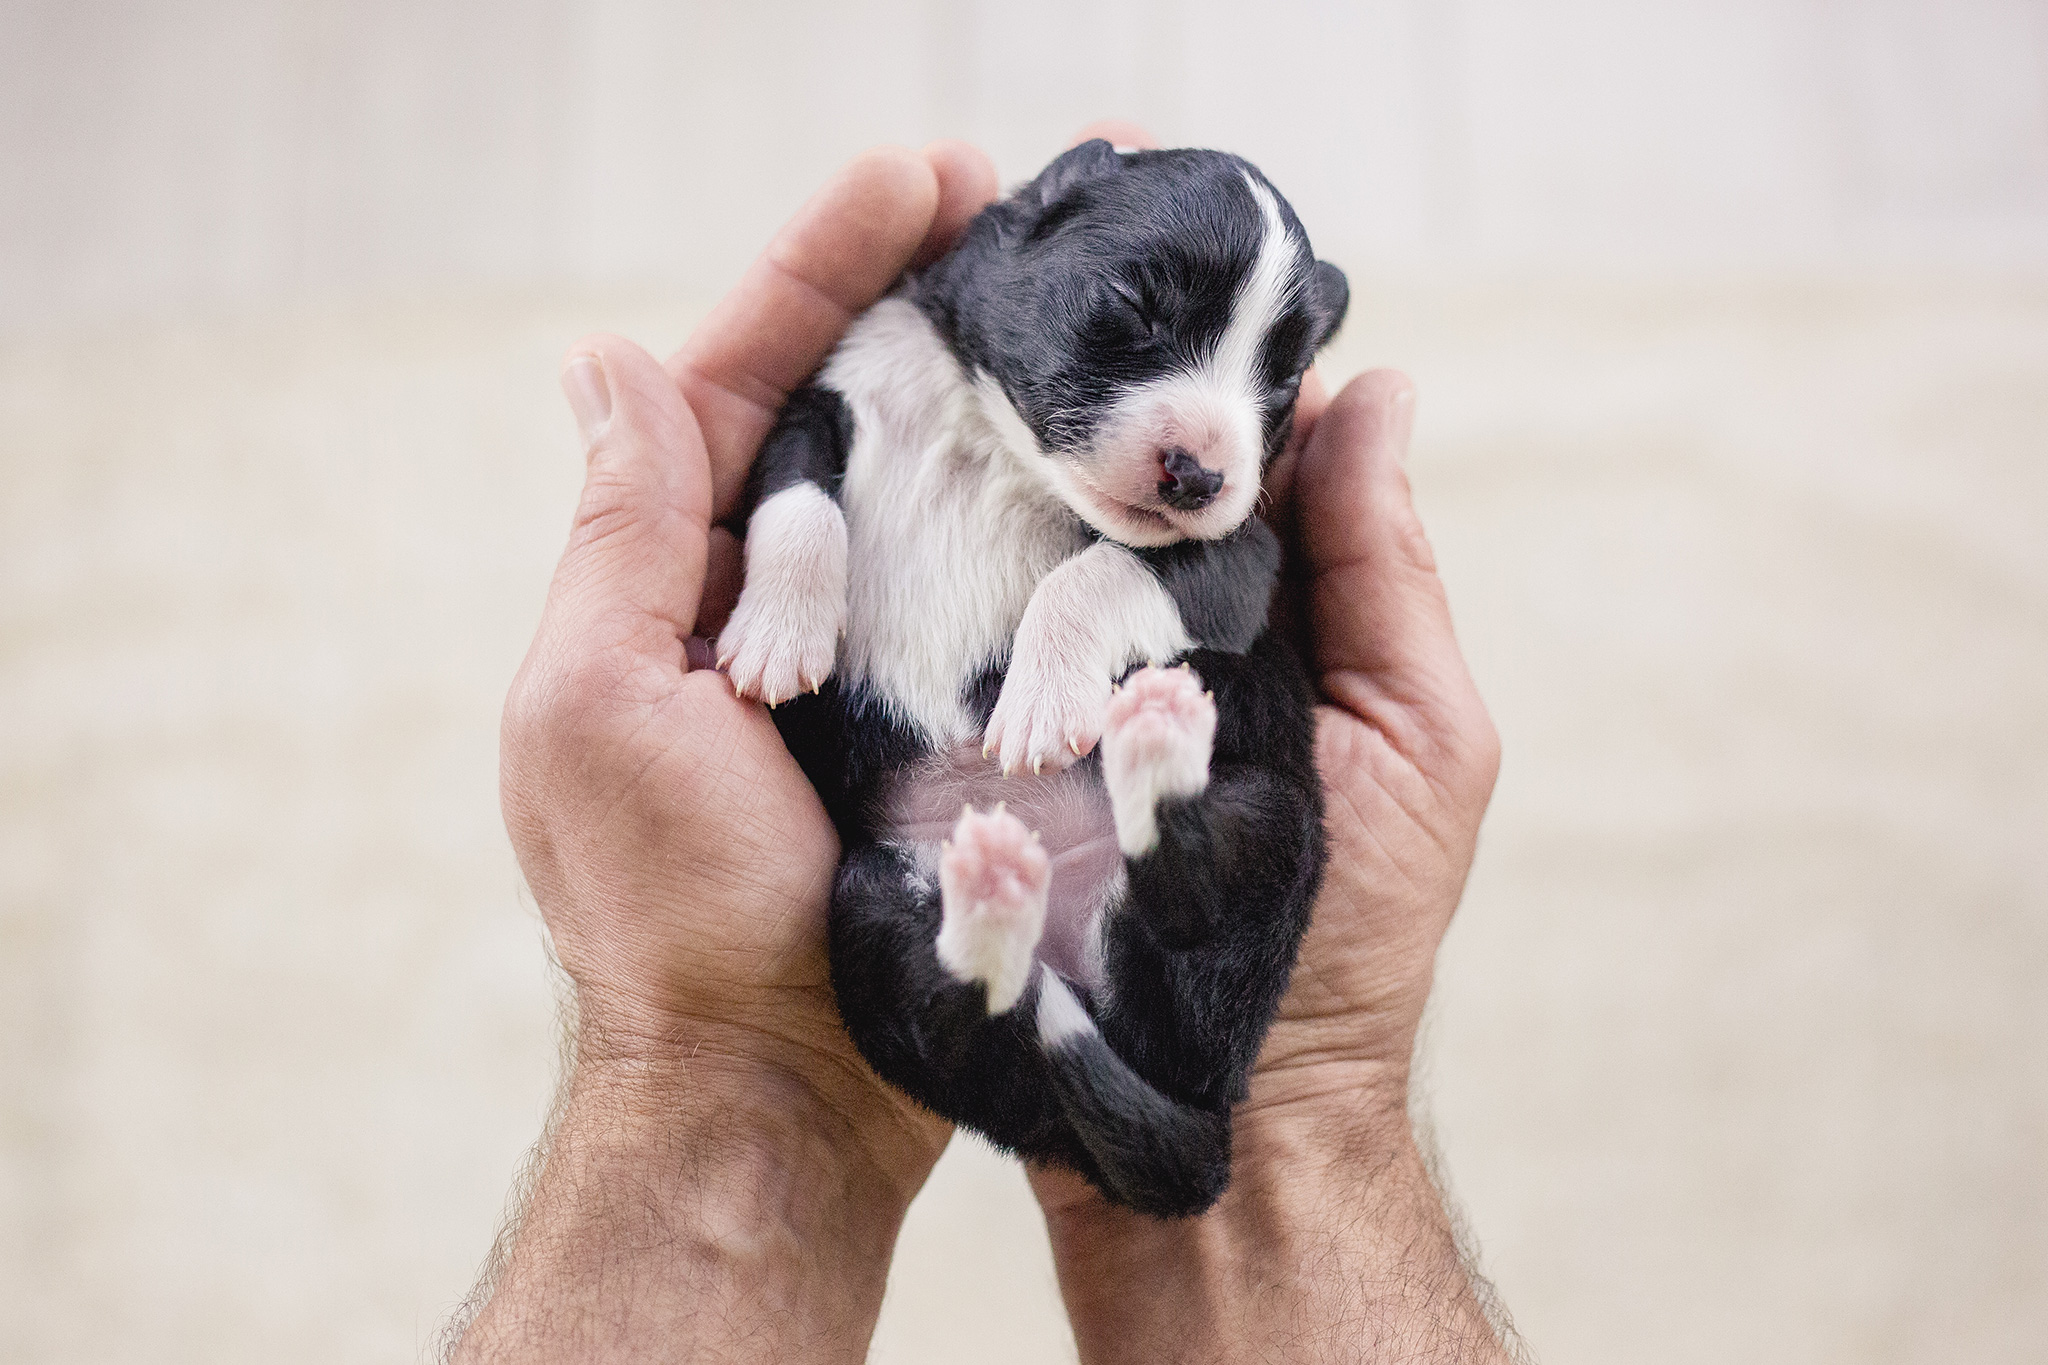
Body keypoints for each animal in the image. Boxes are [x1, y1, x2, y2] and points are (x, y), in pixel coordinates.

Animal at [716, 141, 1343, 1219]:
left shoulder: (1240, 552)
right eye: (1133, 303)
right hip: (865, 908)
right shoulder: (823, 401)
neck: (994, 437)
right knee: (965, 1012)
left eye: (1285, 379)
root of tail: (1207, 1108)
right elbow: (796, 501)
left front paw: (1043, 702)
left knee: (1189, 886)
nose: (1200, 473)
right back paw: (994, 903)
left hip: (1276, 824)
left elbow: (1099, 573)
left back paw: (1151, 749)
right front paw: (775, 635)